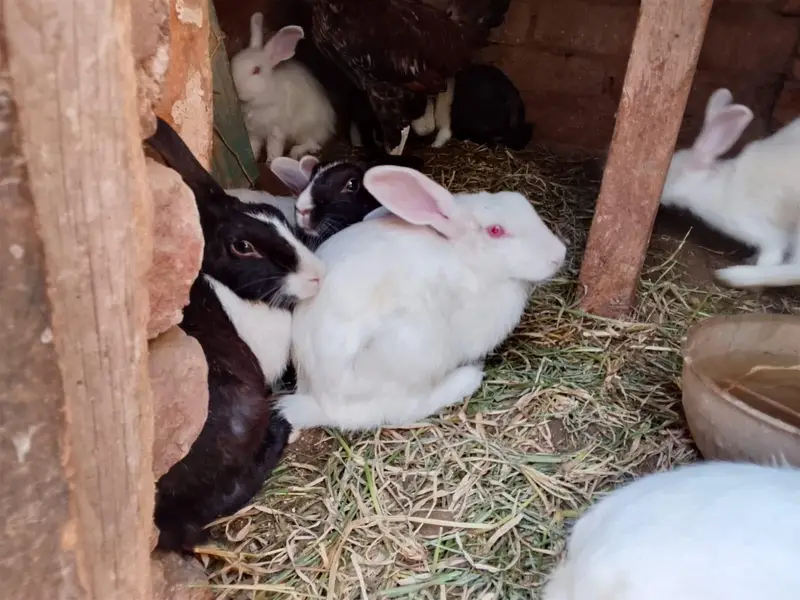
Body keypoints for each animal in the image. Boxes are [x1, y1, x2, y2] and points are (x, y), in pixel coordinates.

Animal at [231, 13, 336, 163]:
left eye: (256, 70)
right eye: (232, 61)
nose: (235, 85)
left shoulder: (276, 130)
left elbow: (274, 148)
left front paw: (270, 162)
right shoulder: (254, 132)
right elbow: (253, 145)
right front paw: (253, 157)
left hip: (306, 128)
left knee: (313, 143)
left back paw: (295, 152)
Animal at [275, 165, 567, 433]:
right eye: (496, 231)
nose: (559, 255)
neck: (468, 261)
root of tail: (322, 403)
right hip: (414, 348)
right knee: (404, 410)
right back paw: (467, 378)